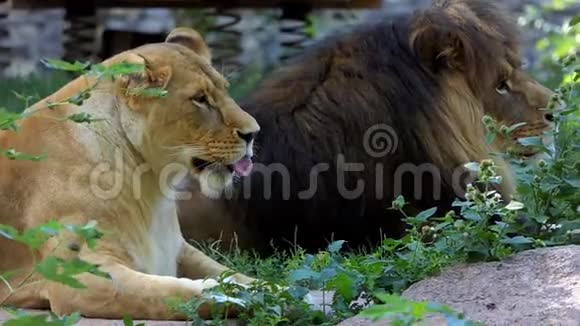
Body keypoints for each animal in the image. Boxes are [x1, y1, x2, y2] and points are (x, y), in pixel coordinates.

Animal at [0, 27, 258, 318]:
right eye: (200, 99)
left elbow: (234, 274)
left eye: (225, 90)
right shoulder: (76, 276)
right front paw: (249, 297)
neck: (153, 185)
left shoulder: (177, 248)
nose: (254, 133)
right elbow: (175, 292)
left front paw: (274, 288)